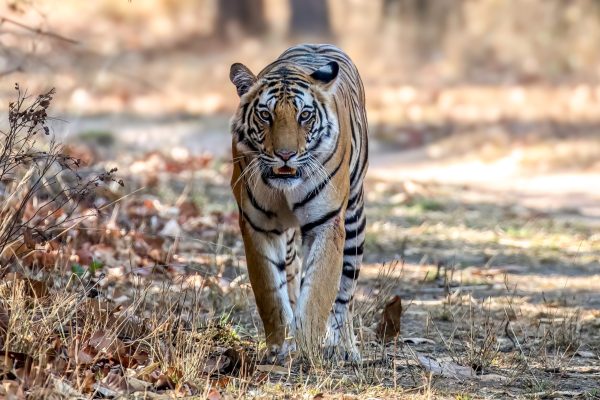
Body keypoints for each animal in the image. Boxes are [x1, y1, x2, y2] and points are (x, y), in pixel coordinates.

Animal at [230, 43, 368, 362]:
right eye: (265, 115)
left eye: (304, 115)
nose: (285, 155)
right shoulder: (258, 226)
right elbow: (270, 292)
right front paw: (279, 348)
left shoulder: (327, 224)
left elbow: (317, 292)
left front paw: (308, 349)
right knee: (291, 276)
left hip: (354, 218)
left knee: (346, 291)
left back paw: (345, 347)